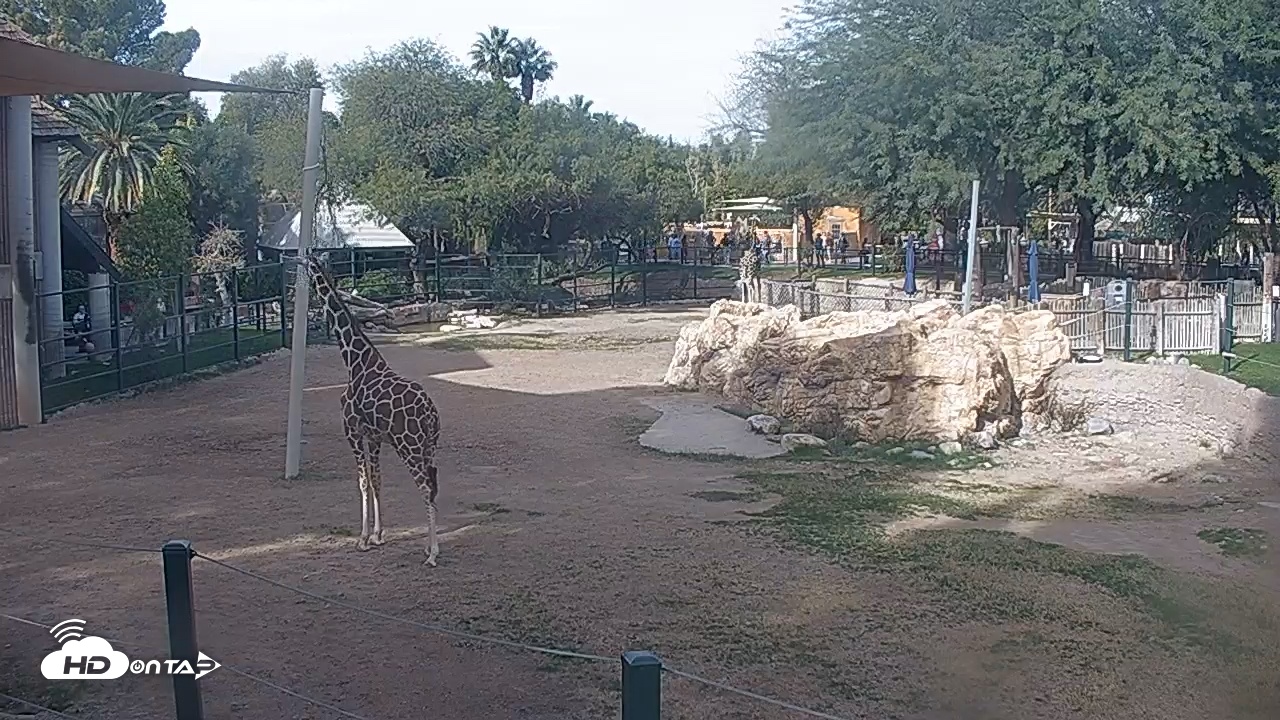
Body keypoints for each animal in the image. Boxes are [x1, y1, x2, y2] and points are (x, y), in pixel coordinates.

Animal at [302, 254, 444, 566]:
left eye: (301, 260)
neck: (354, 361)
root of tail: (430, 412)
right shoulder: (375, 436)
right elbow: (377, 479)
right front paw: (378, 535)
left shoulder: (352, 431)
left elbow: (363, 481)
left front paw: (363, 539)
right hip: (429, 445)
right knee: (433, 485)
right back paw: (429, 547)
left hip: (408, 446)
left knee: (426, 487)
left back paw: (432, 554)